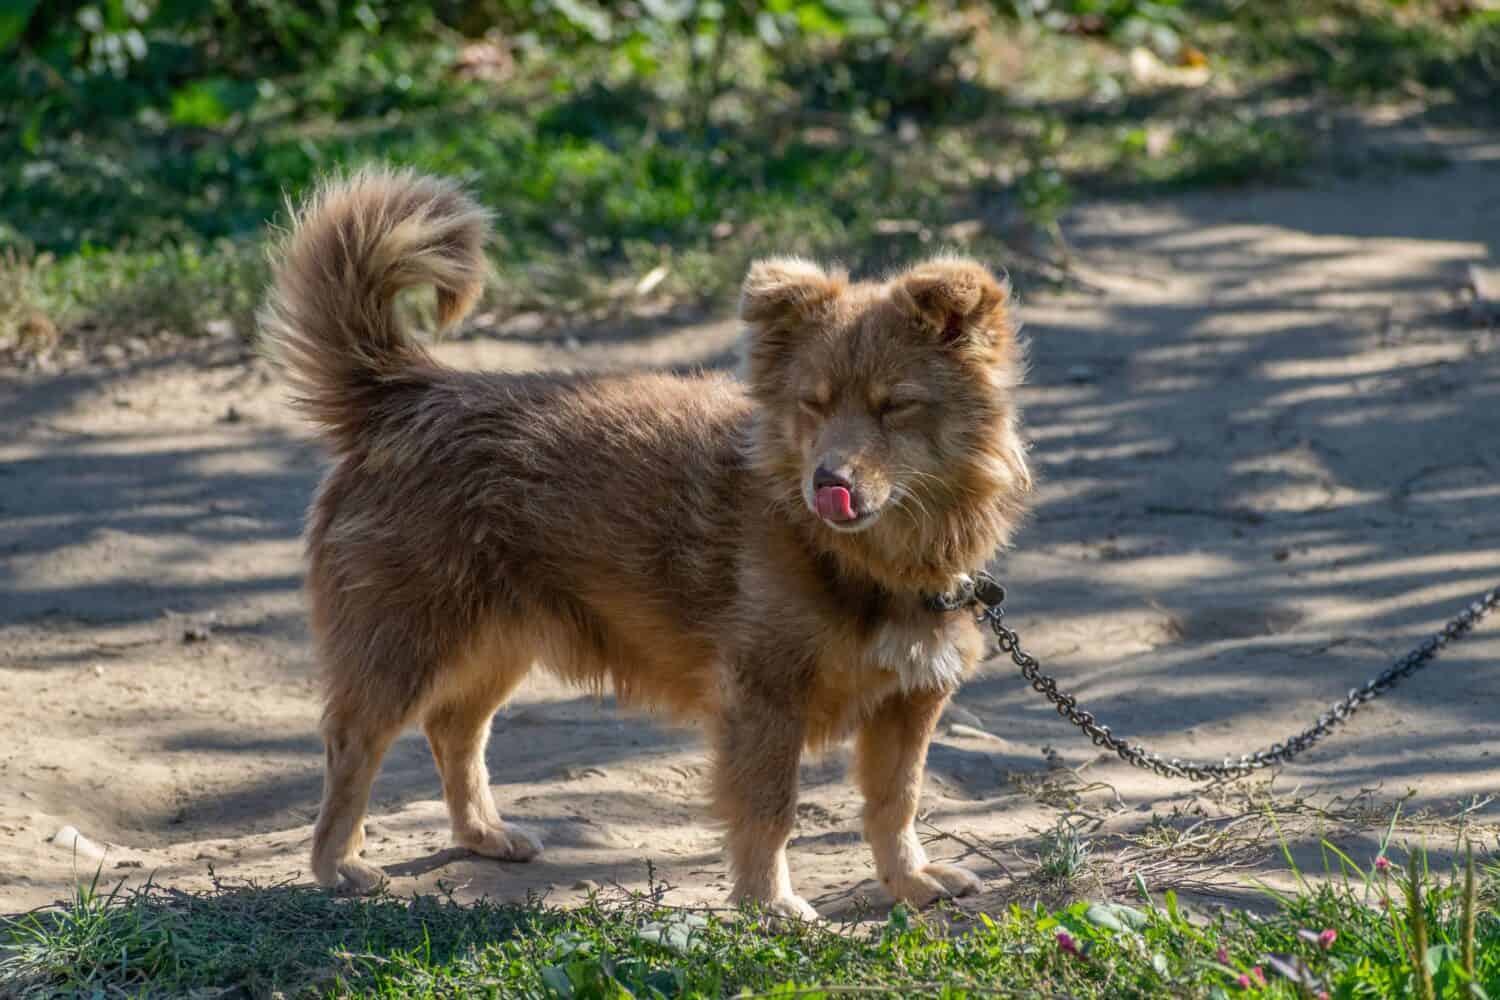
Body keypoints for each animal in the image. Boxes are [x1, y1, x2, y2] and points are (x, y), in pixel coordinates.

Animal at [261, 167, 1032, 917]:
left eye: (895, 406)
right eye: (812, 404)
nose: (827, 482)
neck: (868, 556)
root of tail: (408, 391)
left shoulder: (910, 701)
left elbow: (896, 805)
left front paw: (910, 881)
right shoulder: (763, 696)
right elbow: (770, 811)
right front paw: (769, 902)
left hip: (497, 641)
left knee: (454, 730)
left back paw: (482, 834)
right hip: (406, 643)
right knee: (353, 744)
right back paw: (339, 863)